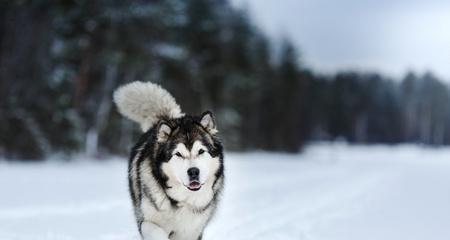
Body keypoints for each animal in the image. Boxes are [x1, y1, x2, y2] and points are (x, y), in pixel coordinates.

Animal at [113, 81, 224, 239]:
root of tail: (167, 118)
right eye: (178, 154)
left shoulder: (191, 231)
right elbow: (157, 232)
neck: (180, 201)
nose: (193, 172)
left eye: (201, 151)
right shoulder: (146, 222)